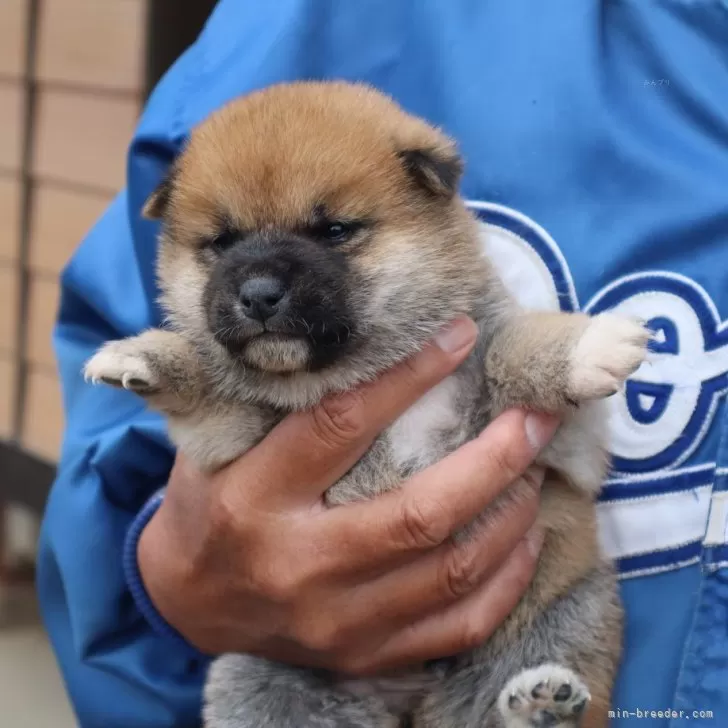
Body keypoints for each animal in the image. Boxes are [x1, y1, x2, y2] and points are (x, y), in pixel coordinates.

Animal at [85, 81, 648, 728]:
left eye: (334, 230)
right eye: (222, 242)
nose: (257, 294)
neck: (354, 373)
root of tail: (409, 699)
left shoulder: (561, 438)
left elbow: (519, 347)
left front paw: (592, 344)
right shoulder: (235, 435)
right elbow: (210, 386)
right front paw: (145, 356)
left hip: (571, 612)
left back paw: (539, 705)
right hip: (257, 670)